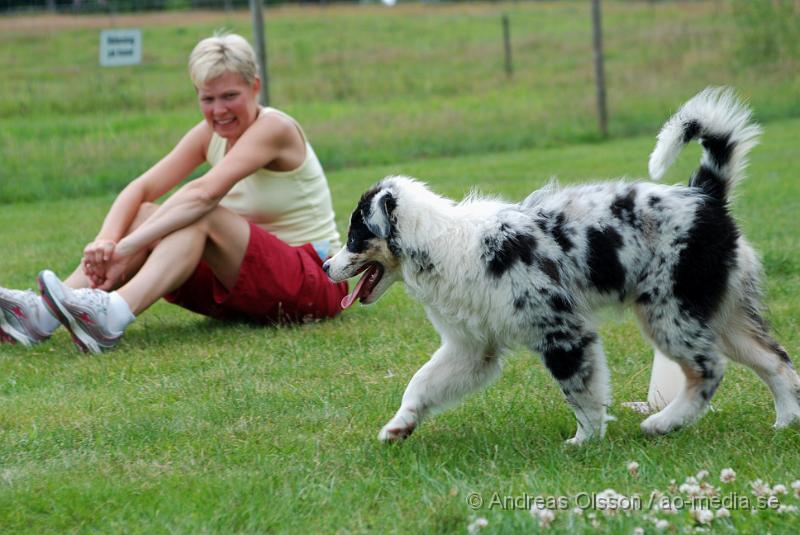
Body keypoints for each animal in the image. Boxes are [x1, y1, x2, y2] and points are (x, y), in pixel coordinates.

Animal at [322, 90, 800, 446]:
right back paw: (784, 422)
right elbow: (422, 382)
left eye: (355, 236)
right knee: (774, 359)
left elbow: (582, 392)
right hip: (721, 309)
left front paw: (584, 441)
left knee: (709, 367)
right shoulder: (471, 347)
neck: (443, 242)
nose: (326, 265)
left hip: (671, 309)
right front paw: (398, 426)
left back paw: (664, 422)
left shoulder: (562, 330)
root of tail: (704, 194)